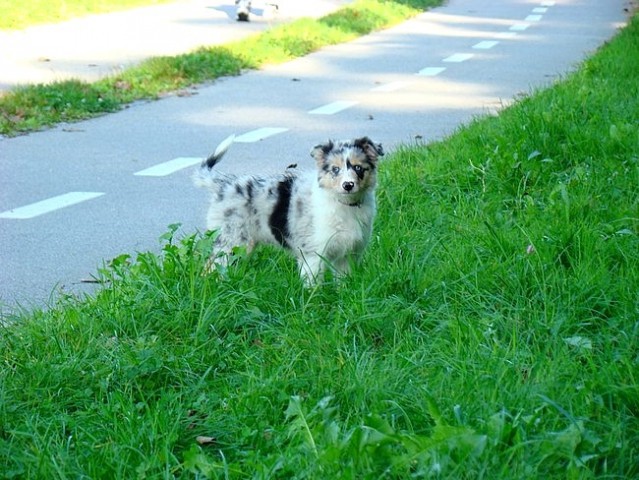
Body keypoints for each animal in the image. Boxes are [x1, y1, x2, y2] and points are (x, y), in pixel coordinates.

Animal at [194, 135, 384, 284]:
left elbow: (343, 280)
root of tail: (224, 184)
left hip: (244, 244)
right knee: (210, 267)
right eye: (335, 169)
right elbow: (313, 284)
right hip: (230, 239)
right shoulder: (312, 254)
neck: (343, 204)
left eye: (358, 167)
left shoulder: (348, 254)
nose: (348, 185)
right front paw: (313, 303)